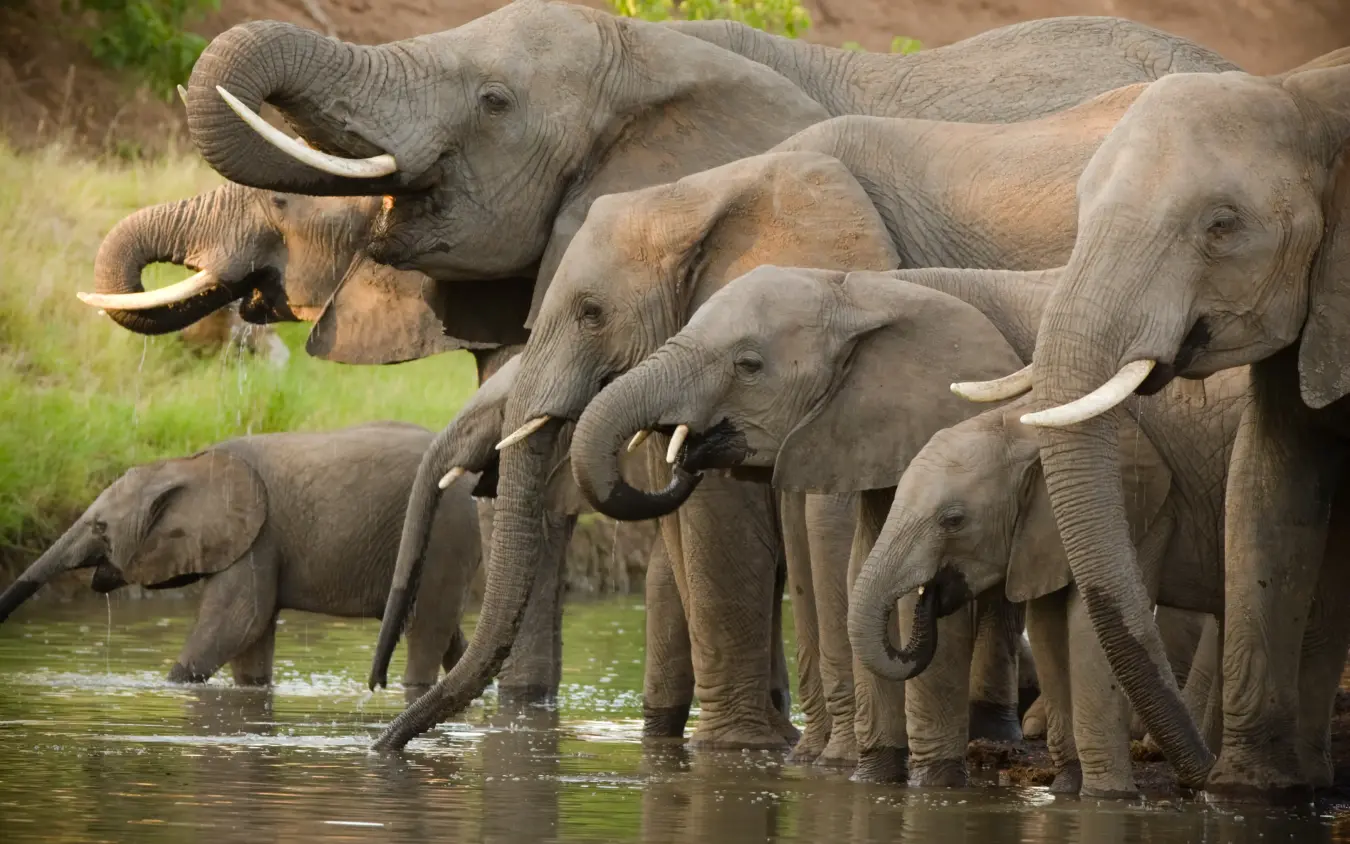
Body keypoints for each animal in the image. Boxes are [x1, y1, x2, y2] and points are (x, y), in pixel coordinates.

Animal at [0, 422, 480, 691]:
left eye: (100, 528)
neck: (186, 464)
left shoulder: (259, 537)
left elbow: (239, 620)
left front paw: (170, 686)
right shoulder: (257, 540)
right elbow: (252, 638)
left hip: (445, 532)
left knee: (428, 628)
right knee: (451, 634)